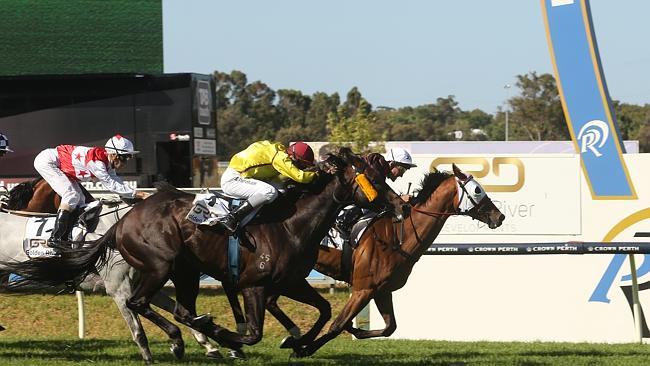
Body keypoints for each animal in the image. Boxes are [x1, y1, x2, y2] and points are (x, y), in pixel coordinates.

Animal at [260, 164, 504, 356]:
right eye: (477, 190)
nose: (499, 216)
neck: (399, 236)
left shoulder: (382, 290)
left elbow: (389, 328)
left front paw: (355, 330)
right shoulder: (363, 289)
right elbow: (337, 326)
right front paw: (305, 349)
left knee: (271, 301)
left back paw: (291, 338)